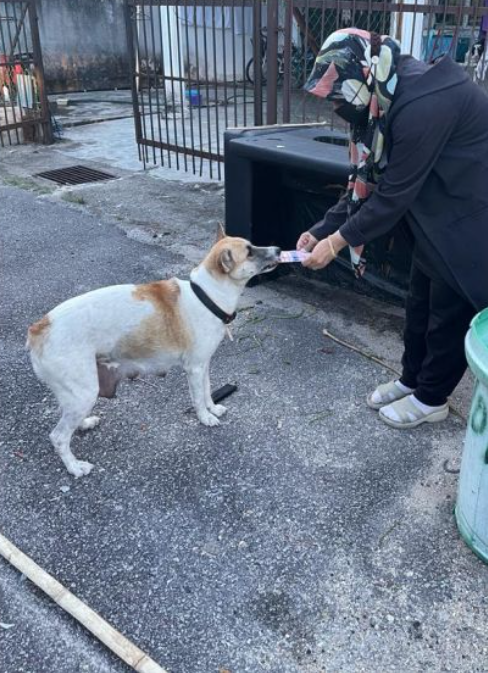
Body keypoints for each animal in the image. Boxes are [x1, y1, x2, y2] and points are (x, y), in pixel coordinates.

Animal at [27, 236, 278, 478]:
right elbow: (198, 398)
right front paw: (205, 417)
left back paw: (85, 423)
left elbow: (207, 391)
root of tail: (39, 328)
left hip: (76, 394)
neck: (206, 296)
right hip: (85, 393)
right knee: (59, 437)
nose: (277, 249)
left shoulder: (204, 365)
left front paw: (212, 408)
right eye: (249, 251)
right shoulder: (194, 368)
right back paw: (74, 467)